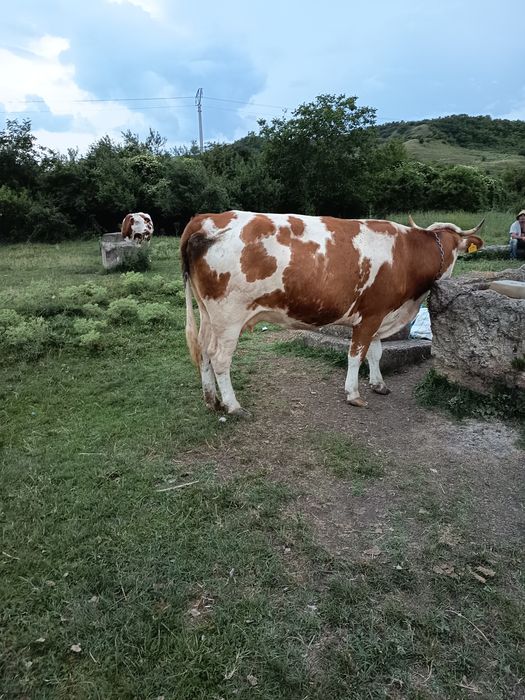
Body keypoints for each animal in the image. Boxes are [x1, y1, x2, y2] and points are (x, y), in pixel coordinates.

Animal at [180, 210, 484, 416]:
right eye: (456, 252)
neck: (407, 255)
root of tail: (204, 219)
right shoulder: (370, 315)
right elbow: (356, 356)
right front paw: (354, 394)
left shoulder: (380, 314)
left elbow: (376, 353)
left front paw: (379, 384)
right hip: (228, 316)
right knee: (220, 358)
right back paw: (233, 406)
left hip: (208, 313)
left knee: (204, 351)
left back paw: (212, 400)